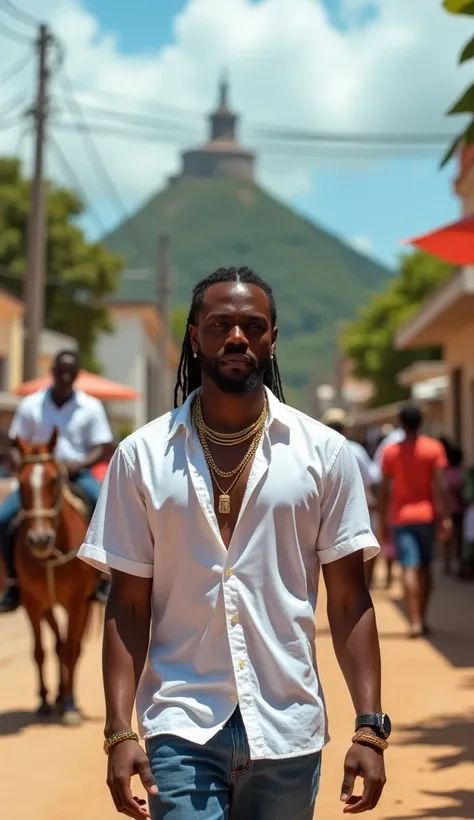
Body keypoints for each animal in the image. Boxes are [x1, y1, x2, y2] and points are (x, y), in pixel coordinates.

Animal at [14, 430, 99, 724]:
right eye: (20, 481)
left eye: (53, 480)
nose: (40, 539)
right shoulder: (32, 602)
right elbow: (39, 651)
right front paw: (43, 699)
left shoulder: (77, 603)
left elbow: (72, 650)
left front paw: (71, 706)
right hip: (48, 604)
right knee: (58, 644)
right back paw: (58, 694)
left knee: (72, 647)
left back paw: (67, 698)